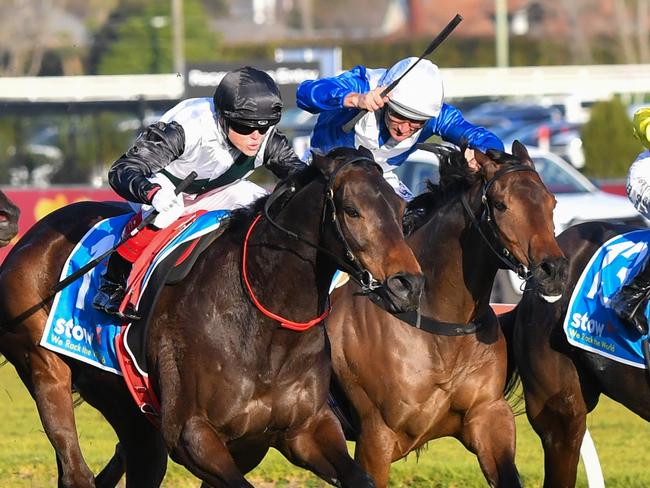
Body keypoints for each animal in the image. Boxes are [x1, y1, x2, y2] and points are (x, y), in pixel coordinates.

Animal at [0, 147, 426, 486]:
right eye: (352, 211)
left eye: (402, 210)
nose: (408, 284)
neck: (265, 326)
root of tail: (31, 237)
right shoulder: (192, 434)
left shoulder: (303, 429)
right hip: (45, 369)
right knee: (75, 471)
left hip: (127, 407)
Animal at [324, 142, 568, 488]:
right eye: (500, 204)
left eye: (551, 202)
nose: (554, 270)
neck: (440, 325)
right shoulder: (376, 436)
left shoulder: (488, 416)